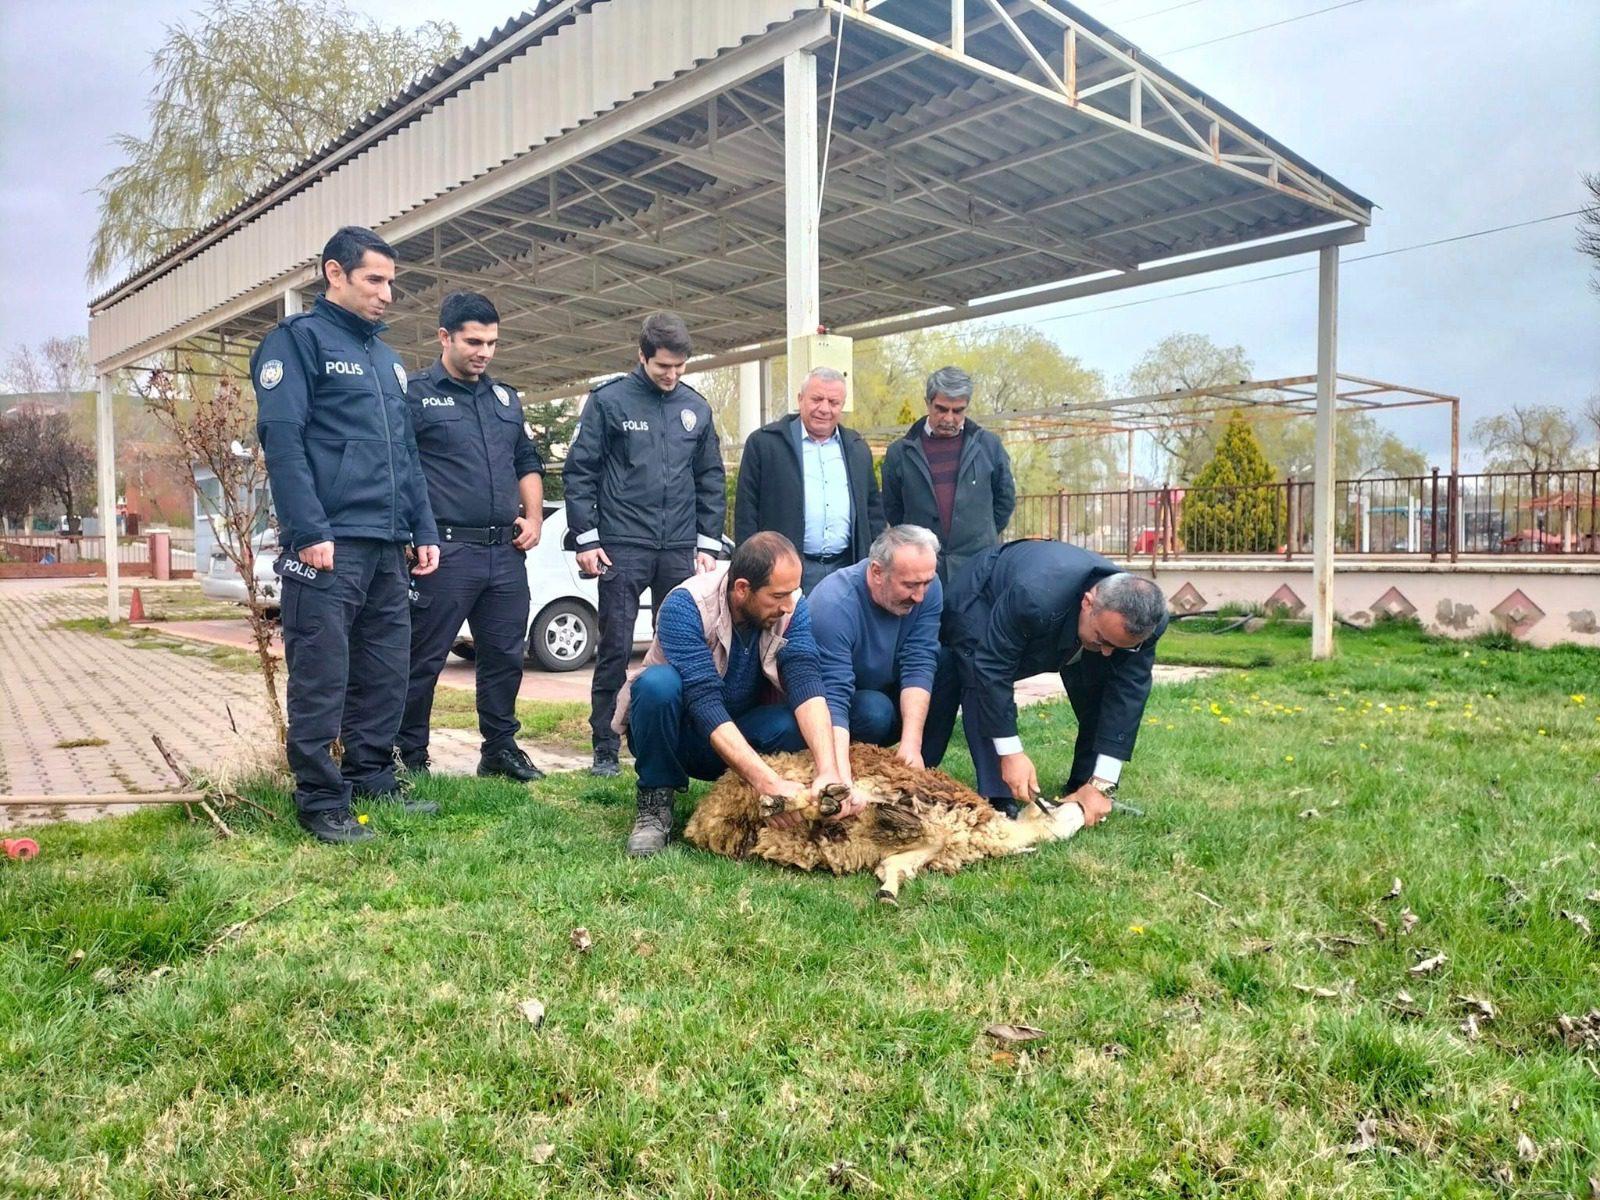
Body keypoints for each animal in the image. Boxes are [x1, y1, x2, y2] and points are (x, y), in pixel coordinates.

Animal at [681, 742, 1094, 902]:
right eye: (1055, 804)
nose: (1082, 806)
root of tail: (701, 818)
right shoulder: (889, 788)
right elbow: (905, 819)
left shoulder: (925, 847)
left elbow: (901, 860)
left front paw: (888, 890)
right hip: (785, 772)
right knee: (802, 795)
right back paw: (796, 800)